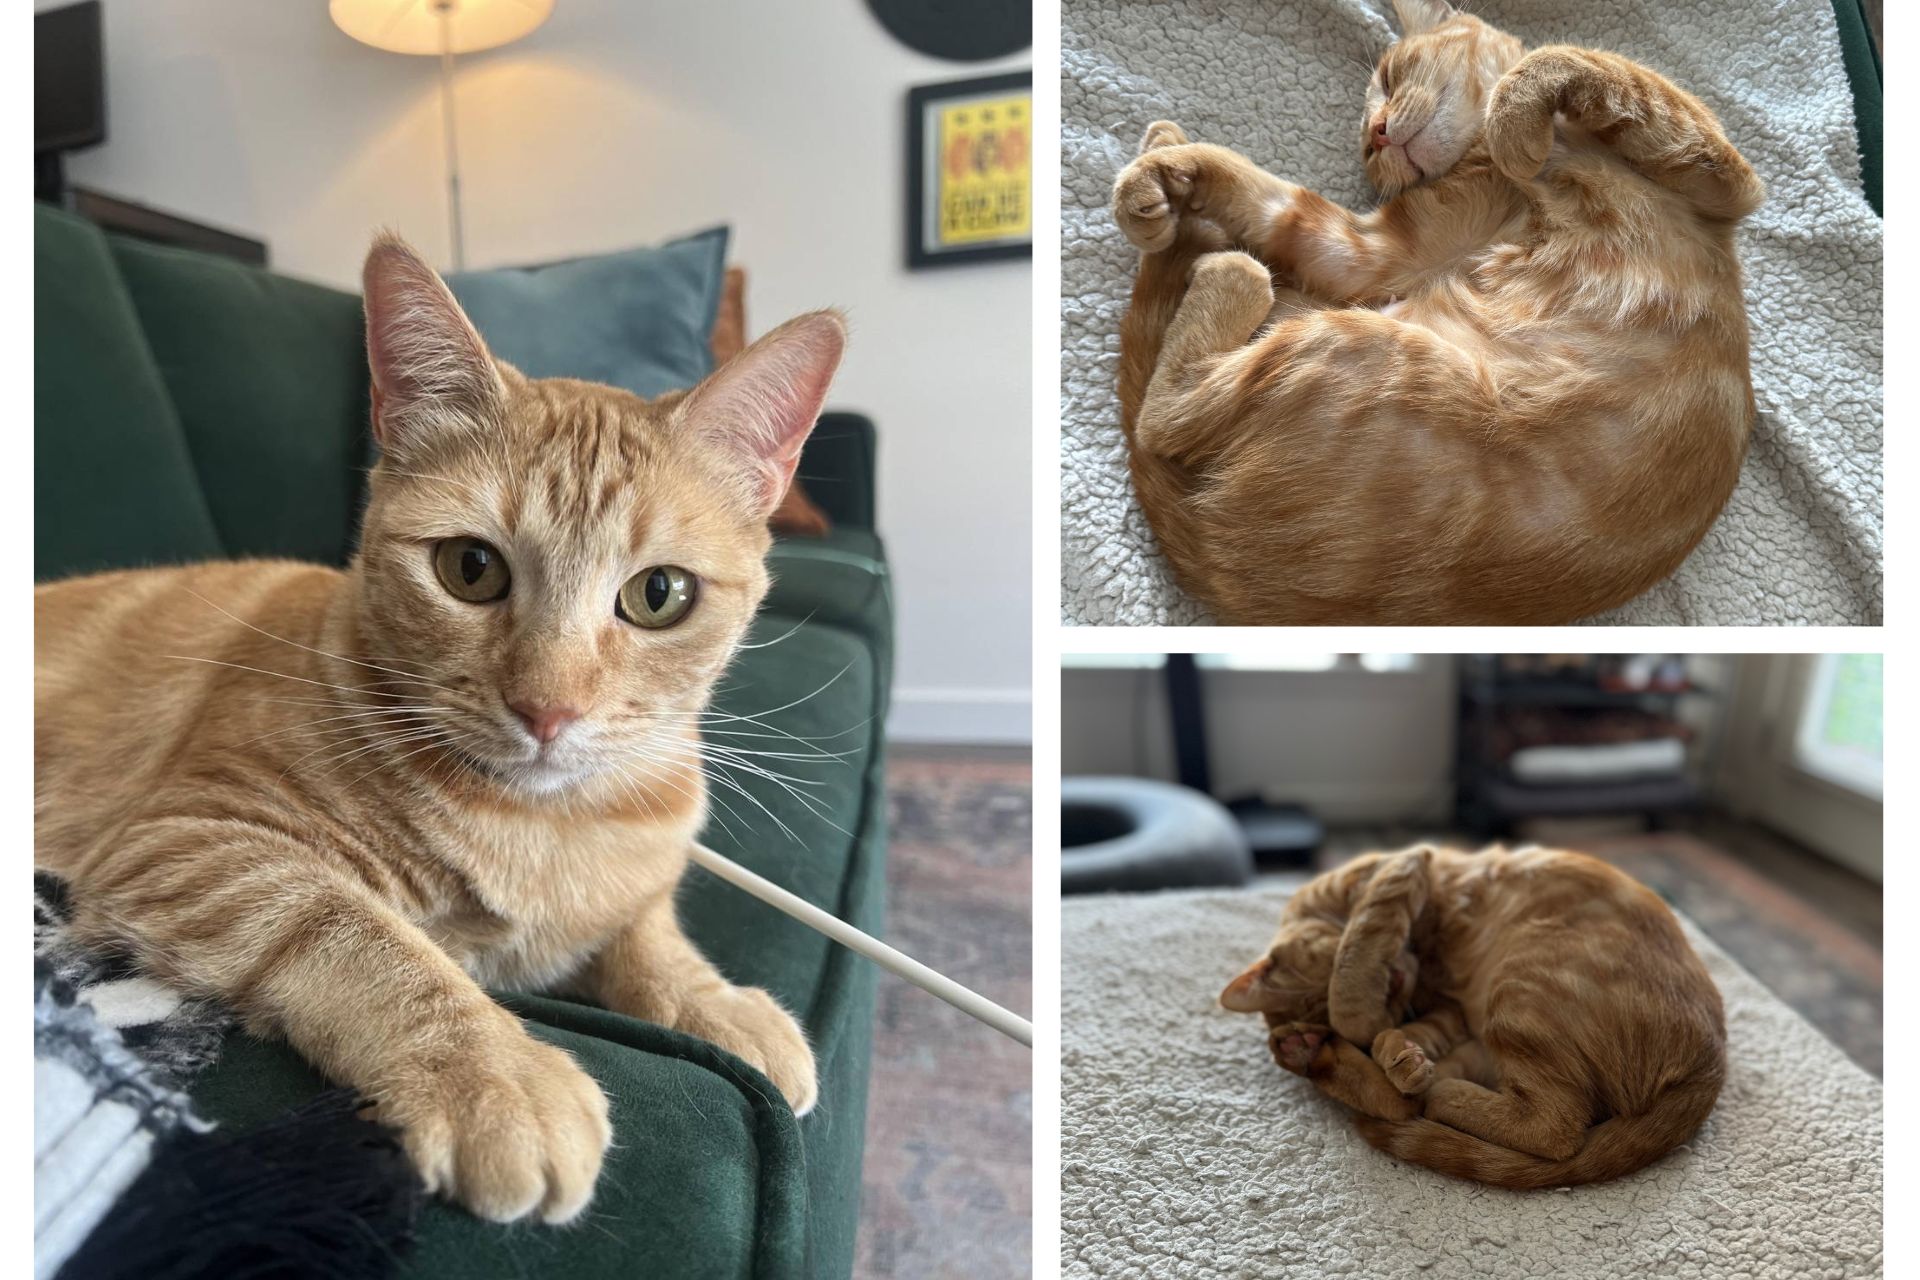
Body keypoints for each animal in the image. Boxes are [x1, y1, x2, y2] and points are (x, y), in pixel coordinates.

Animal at [33, 235, 844, 1228]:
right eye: (470, 569)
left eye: (660, 594)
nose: (548, 710)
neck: (553, 828)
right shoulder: (190, 838)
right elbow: (358, 932)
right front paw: (494, 1076)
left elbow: (646, 929)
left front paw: (713, 1001)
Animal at [1105, 0, 1758, 625]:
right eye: (1367, 148)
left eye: (1389, 79)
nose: (1377, 135)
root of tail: (1224, 573)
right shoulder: (1376, 252)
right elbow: (1261, 191)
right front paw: (1167, 169)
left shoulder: (1725, 179)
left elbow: (1569, 59)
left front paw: (1514, 119)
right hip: (1355, 345)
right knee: (1163, 415)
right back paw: (1205, 239)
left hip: (1346, 339)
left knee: (1167, 404)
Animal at [1221, 852, 1735, 1189]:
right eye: (1395, 993)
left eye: (1325, 975)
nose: (1394, 984)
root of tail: (1711, 1069)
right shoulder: (1449, 1013)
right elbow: (1406, 1036)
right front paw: (1395, 1051)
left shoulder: (1401, 867)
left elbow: (1358, 947)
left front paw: (1364, 1020)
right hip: (1500, 1023)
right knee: (1418, 1107)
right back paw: (1311, 1052)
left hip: (1519, 987)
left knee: (1557, 1128)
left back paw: (1431, 1089)